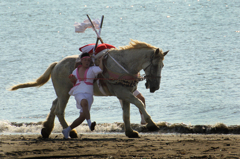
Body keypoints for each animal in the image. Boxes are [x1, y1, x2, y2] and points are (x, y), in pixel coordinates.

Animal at [10, 39, 169, 138]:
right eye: (156, 65)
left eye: (163, 65)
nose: (155, 87)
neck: (123, 65)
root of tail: (56, 64)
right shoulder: (123, 92)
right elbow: (139, 103)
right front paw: (152, 124)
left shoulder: (125, 94)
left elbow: (126, 114)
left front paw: (130, 132)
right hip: (64, 93)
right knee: (59, 110)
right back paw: (71, 132)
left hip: (63, 92)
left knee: (54, 105)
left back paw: (46, 129)